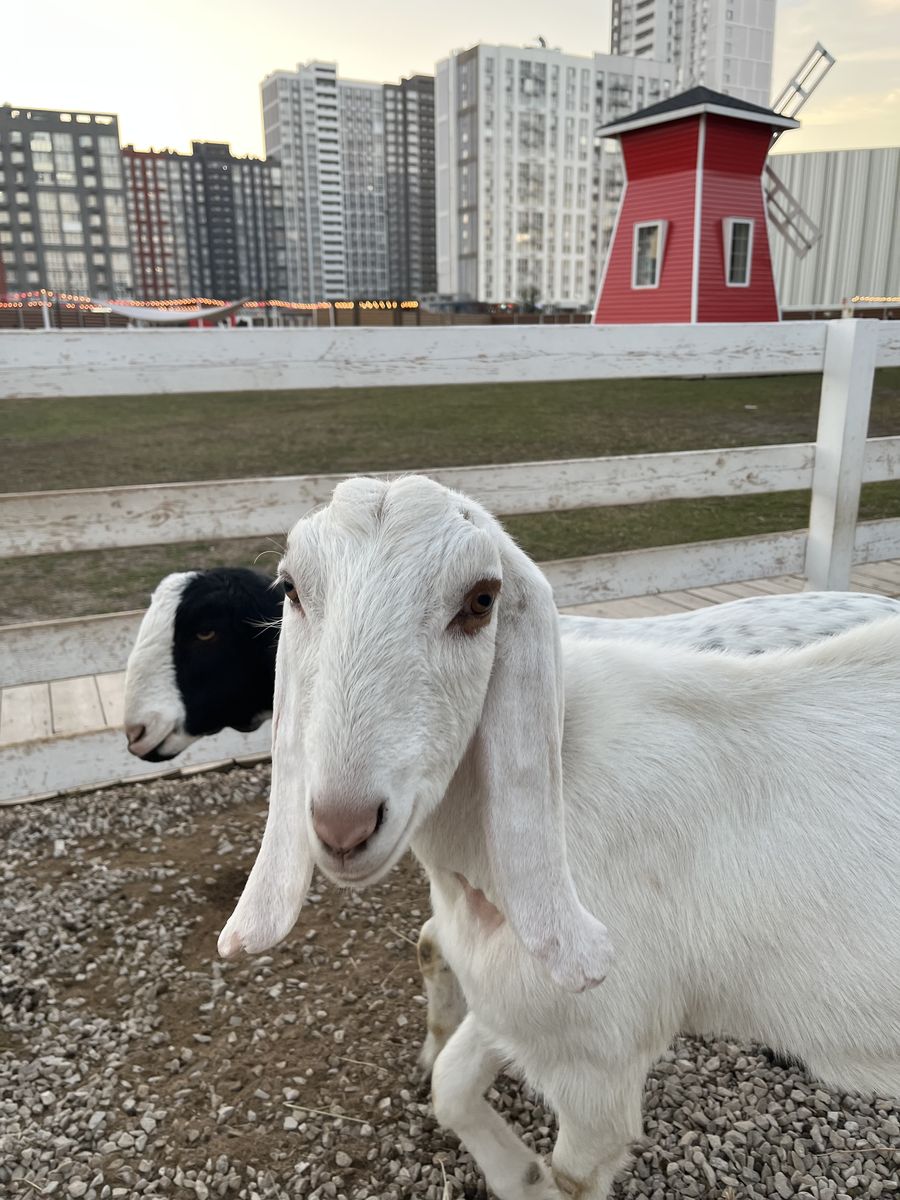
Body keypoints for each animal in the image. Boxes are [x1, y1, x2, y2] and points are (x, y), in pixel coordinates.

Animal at [218, 475, 900, 1200]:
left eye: (481, 600)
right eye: (291, 588)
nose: (342, 826)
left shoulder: (596, 1059)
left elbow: (574, 1173)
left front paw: (535, 1179)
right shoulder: (515, 1001)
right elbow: (451, 1081)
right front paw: (515, 1170)